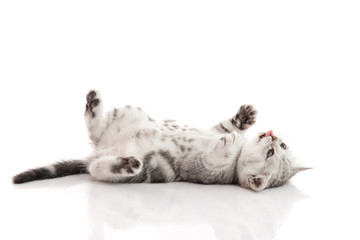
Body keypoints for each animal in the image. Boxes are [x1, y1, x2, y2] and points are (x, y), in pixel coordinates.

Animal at [11, 89, 310, 191]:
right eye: (281, 147)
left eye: (273, 154)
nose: (273, 136)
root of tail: (100, 152)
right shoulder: (214, 129)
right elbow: (226, 126)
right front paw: (244, 119)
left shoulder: (203, 169)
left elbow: (214, 158)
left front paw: (231, 144)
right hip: (131, 111)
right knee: (96, 132)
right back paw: (94, 104)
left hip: (143, 172)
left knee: (100, 168)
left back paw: (125, 164)